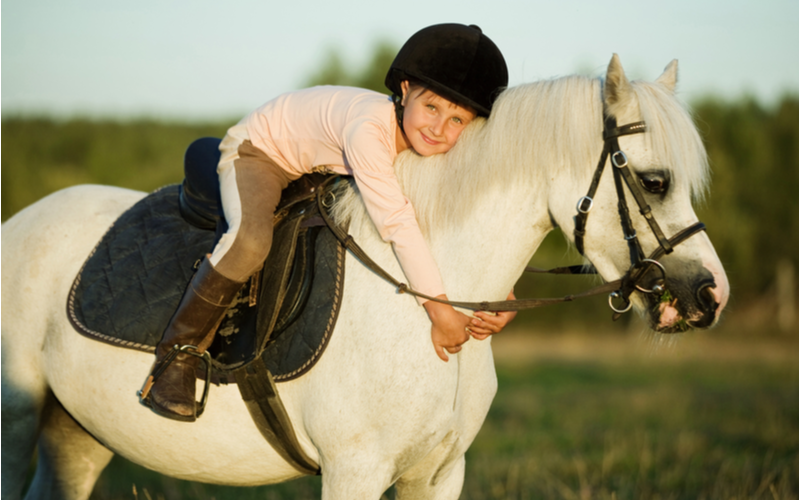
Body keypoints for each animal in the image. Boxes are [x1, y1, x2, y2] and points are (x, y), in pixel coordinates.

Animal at [1, 55, 724, 500]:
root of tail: (22, 223)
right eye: (654, 181)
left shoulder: (439, 473)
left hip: (78, 433)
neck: (423, 300)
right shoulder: (355, 471)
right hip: (18, 419)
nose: (709, 296)